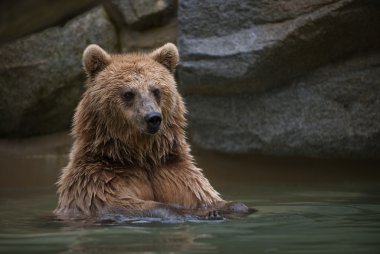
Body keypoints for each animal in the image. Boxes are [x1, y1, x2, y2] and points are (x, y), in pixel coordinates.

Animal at [53, 42, 249, 221]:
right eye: (128, 93)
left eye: (156, 90)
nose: (153, 118)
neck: (139, 155)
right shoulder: (99, 180)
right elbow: (118, 203)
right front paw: (195, 214)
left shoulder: (171, 171)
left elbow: (200, 194)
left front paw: (230, 207)